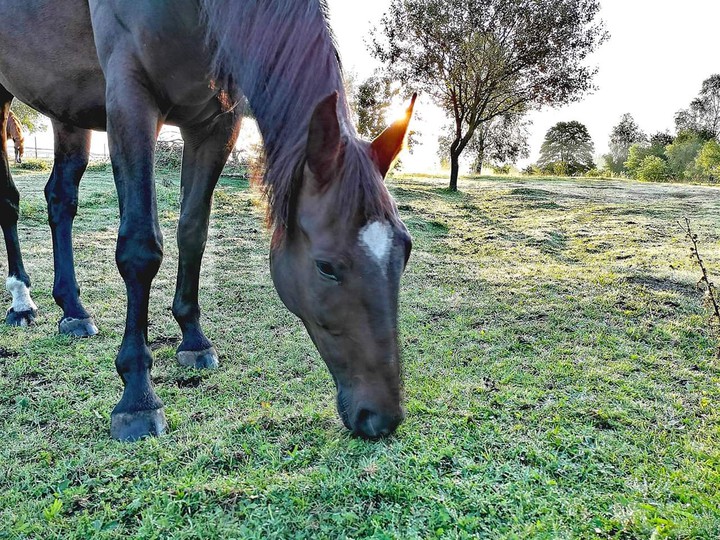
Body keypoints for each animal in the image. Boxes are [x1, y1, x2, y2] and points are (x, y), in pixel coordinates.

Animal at [0, 0, 415, 441]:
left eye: (404, 251)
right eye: (326, 267)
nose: (382, 416)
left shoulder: (215, 123)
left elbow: (193, 230)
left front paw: (194, 339)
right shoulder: (130, 100)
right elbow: (140, 247)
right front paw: (137, 395)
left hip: (68, 111)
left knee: (60, 199)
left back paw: (74, 310)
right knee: (9, 202)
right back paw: (21, 301)